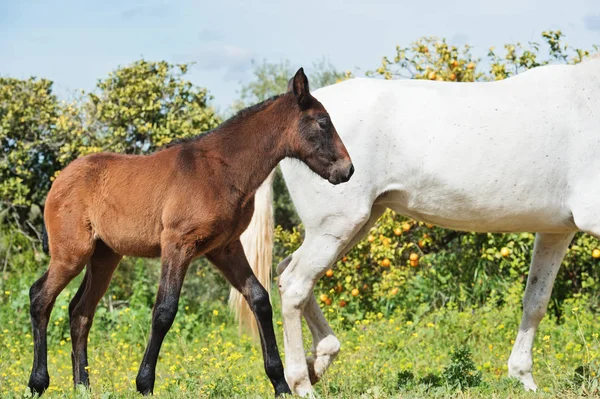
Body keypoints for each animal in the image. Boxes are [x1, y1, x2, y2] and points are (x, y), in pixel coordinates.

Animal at [28, 69, 354, 396]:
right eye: (323, 121)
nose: (347, 170)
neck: (220, 170)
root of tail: (59, 180)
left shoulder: (225, 248)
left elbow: (259, 299)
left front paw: (281, 384)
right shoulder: (178, 244)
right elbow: (164, 310)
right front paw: (144, 384)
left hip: (104, 257)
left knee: (80, 312)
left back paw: (82, 386)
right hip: (72, 254)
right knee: (40, 297)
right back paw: (37, 382)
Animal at [232, 55, 596, 396]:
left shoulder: (555, 231)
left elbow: (535, 301)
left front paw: (524, 378)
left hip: (353, 225)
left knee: (288, 272)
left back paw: (317, 363)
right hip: (336, 226)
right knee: (295, 285)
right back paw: (301, 383)